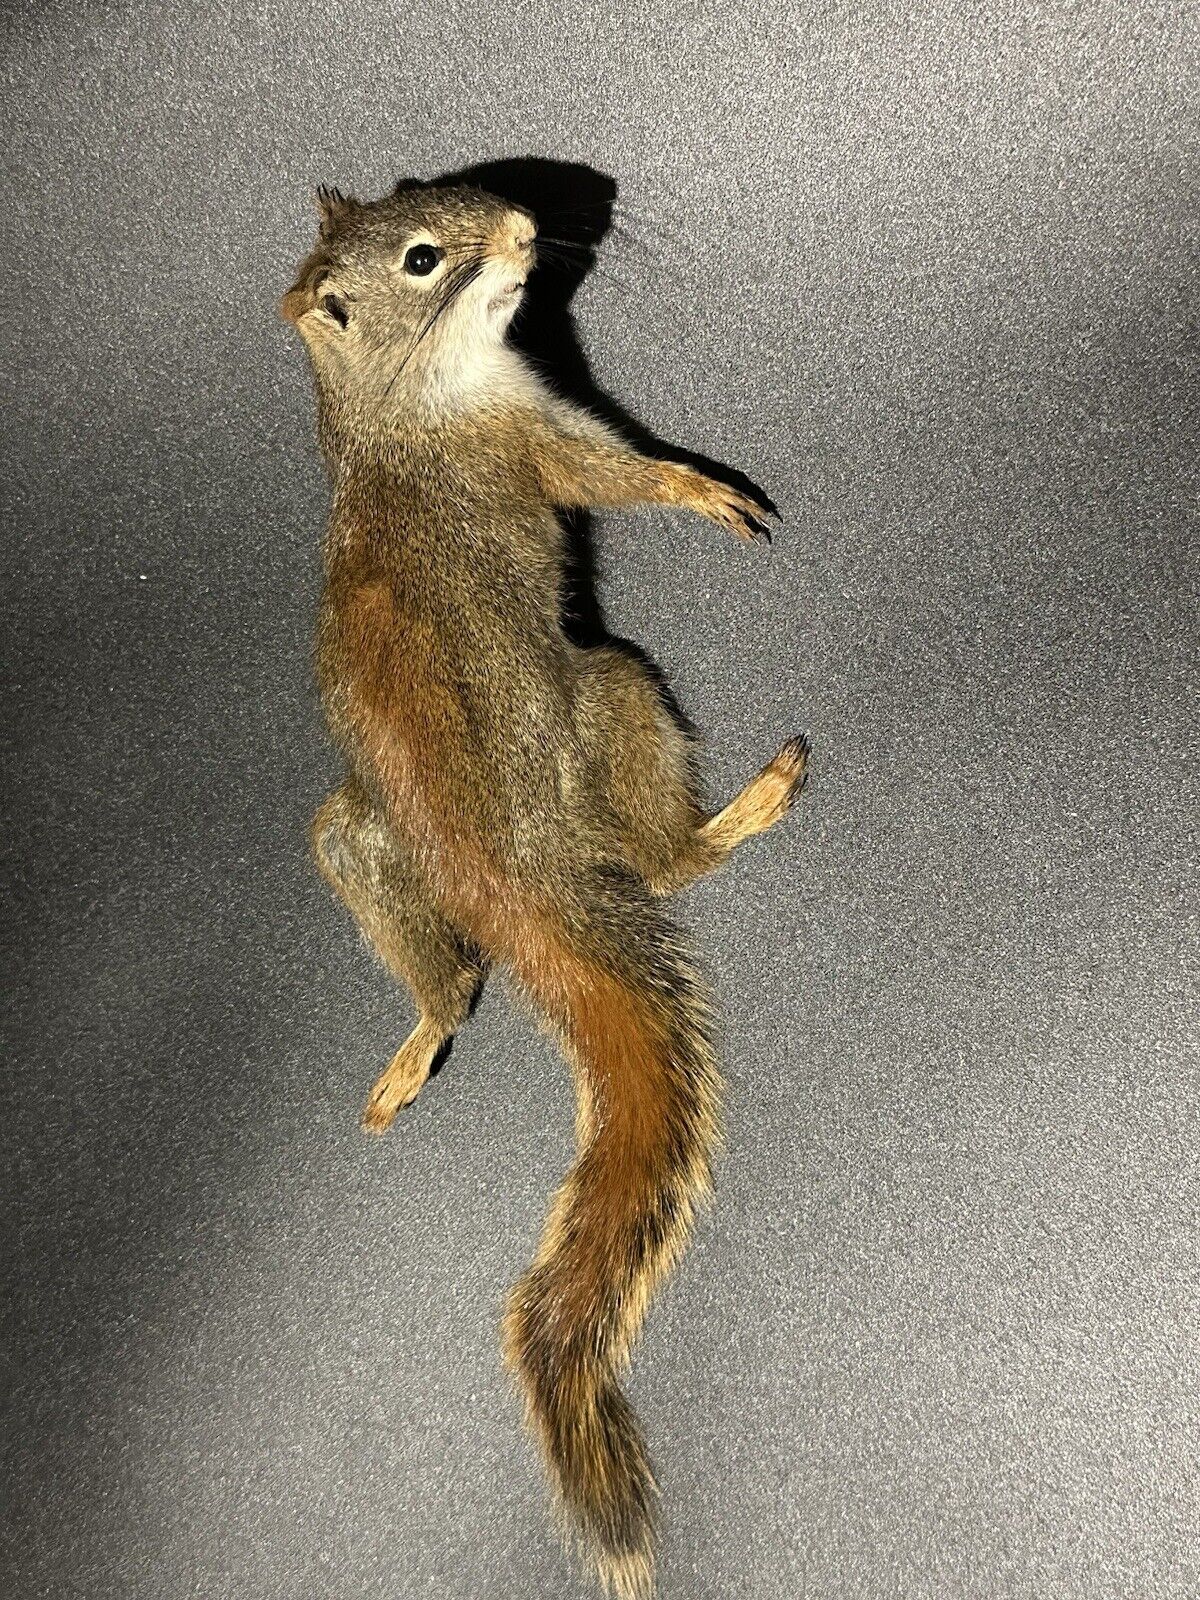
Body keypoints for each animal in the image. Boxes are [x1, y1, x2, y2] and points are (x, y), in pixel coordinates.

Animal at [282, 178, 807, 1599]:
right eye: (422, 255)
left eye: (423, 190)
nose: (522, 223)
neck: (401, 407)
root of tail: (513, 882)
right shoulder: (533, 443)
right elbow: (615, 472)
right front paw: (701, 488)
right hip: (613, 700)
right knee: (667, 860)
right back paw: (746, 807)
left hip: (362, 843)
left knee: (448, 970)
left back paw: (422, 1033)